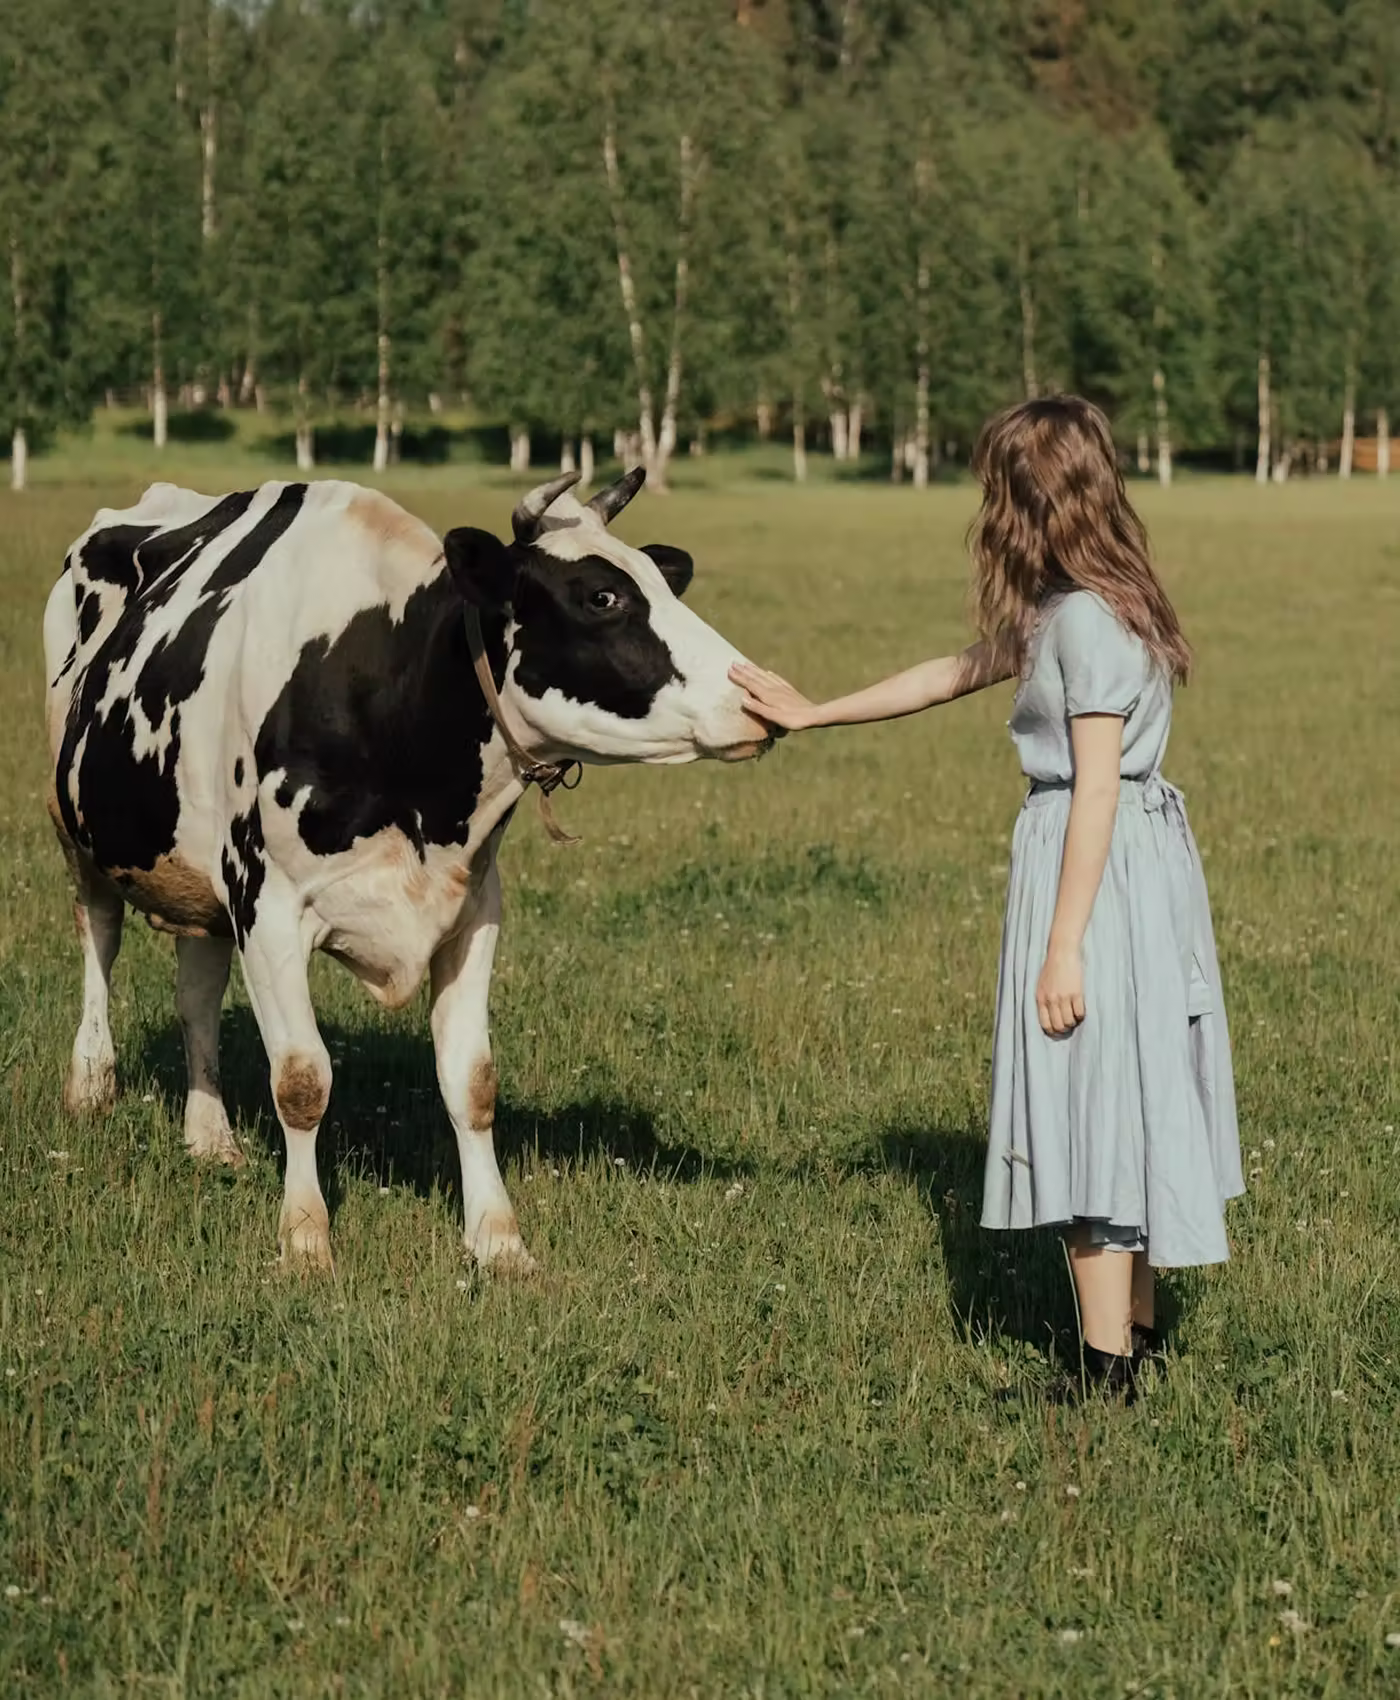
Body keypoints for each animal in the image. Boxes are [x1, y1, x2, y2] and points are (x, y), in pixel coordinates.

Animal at [44, 468, 771, 1272]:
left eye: (662, 582)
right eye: (601, 598)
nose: (757, 694)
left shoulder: (472, 910)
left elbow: (471, 1082)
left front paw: (498, 1241)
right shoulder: (268, 907)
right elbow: (301, 1080)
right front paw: (306, 1241)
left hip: (197, 875)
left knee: (196, 993)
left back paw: (210, 1139)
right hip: (78, 831)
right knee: (99, 939)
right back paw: (90, 1085)